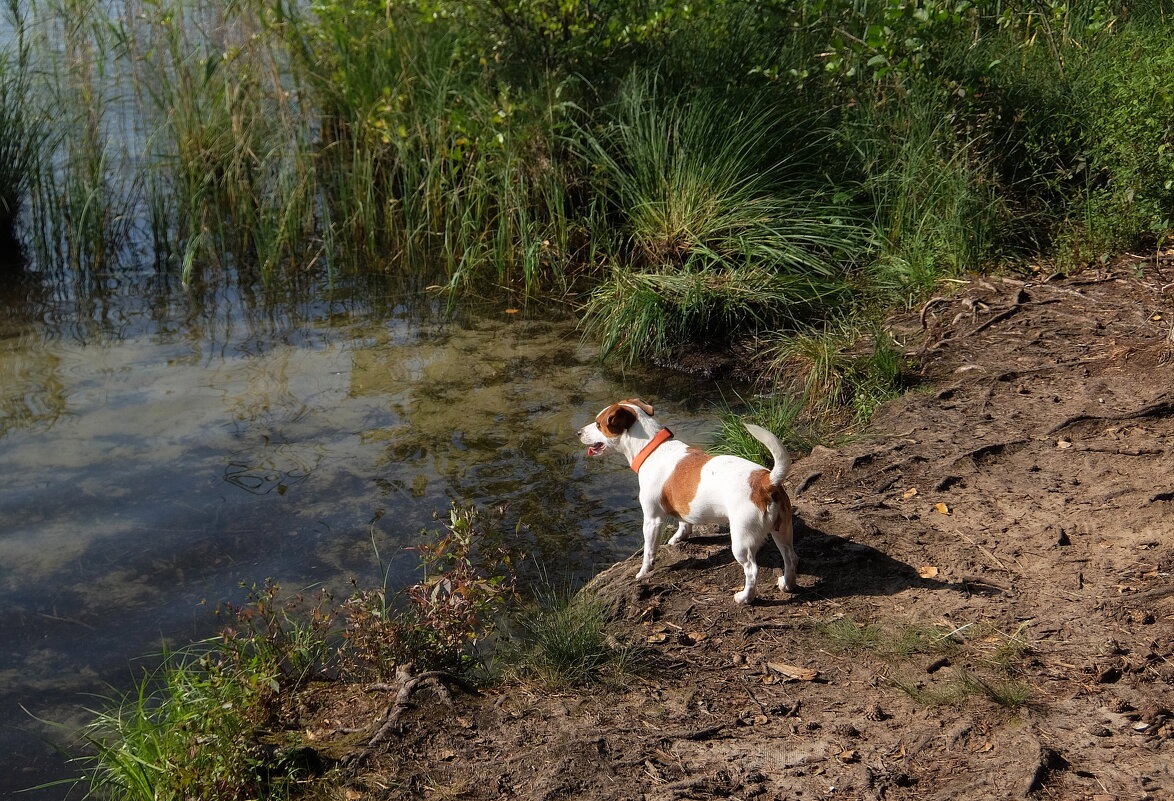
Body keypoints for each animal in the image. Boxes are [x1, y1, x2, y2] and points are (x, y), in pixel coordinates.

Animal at [577, 396, 798, 601]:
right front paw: (679, 537)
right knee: (791, 557)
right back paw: (787, 584)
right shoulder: (682, 506)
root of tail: (766, 481)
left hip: (742, 540)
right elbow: (684, 523)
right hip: (782, 530)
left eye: (598, 424)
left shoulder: (652, 520)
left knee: (752, 569)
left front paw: (643, 572)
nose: (578, 432)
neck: (651, 449)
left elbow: (649, 551)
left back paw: (745, 598)